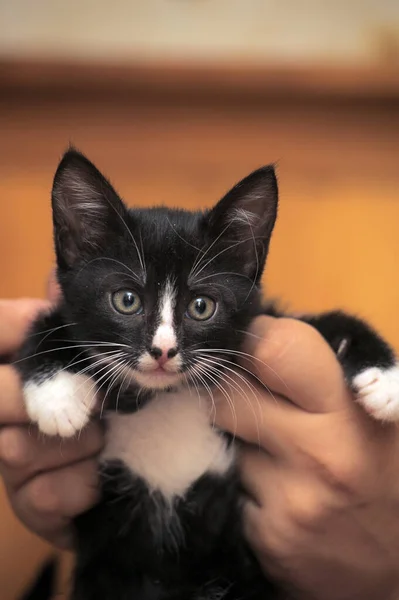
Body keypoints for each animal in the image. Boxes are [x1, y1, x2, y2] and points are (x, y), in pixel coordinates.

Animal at [14, 150, 399, 600]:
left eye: (201, 306)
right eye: (126, 300)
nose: (163, 351)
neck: (169, 395)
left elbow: (326, 322)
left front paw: (386, 379)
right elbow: (45, 324)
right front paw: (59, 396)